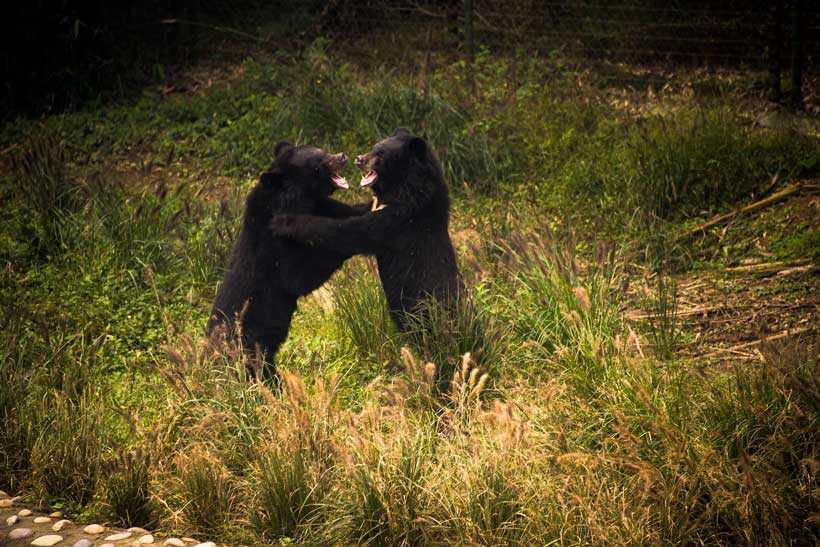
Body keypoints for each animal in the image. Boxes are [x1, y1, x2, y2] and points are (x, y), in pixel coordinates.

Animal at [207, 142, 366, 382]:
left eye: (322, 151)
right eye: (319, 162)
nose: (342, 156)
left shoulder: (323, 206)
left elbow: (348, 211)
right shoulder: (273, 251)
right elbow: (301, 275)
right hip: (249, 348)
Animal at [270, 130, 462, 330]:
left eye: (381, 154)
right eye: (374, 148)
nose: (359, 159)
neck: (402, 189)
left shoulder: (402, 219)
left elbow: (352, 231)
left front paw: (284, 222)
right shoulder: (380, 206)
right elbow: (353, 212)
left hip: (424, 308)